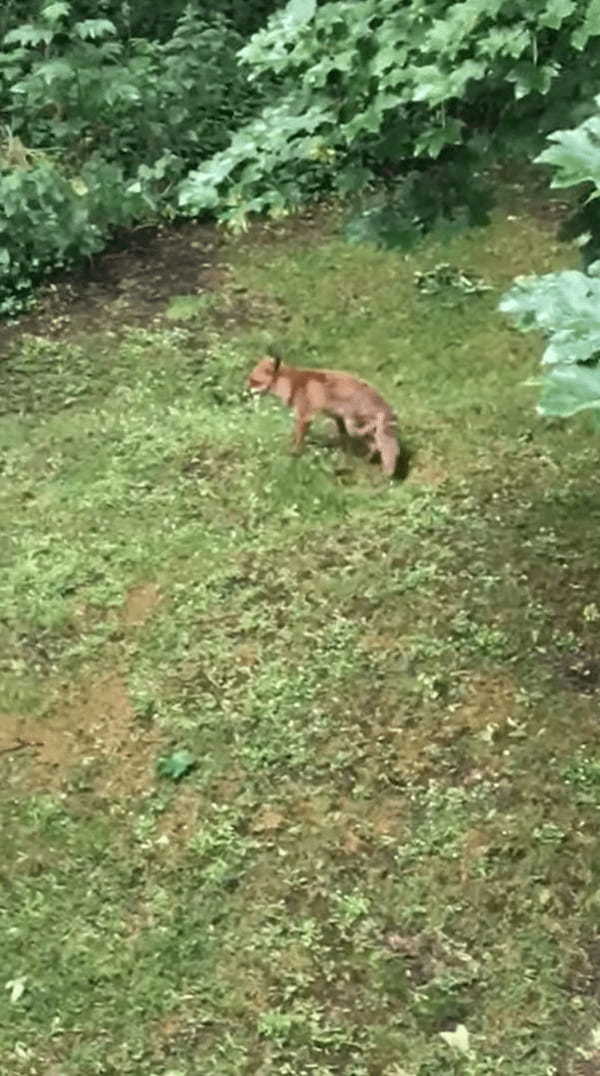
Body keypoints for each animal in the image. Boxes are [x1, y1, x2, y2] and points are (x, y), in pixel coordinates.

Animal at [246, 352, 400, 475]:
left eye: (254, 381)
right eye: (249, 379)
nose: (246, 392)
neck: (292, 384)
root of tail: (385, 405)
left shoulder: (305, 416)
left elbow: (297, 440)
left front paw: (294, 455)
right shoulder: (302, 417)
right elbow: (293, 436)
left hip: (351, 423)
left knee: (375, 442)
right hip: (345, 424)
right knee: (375, 446)